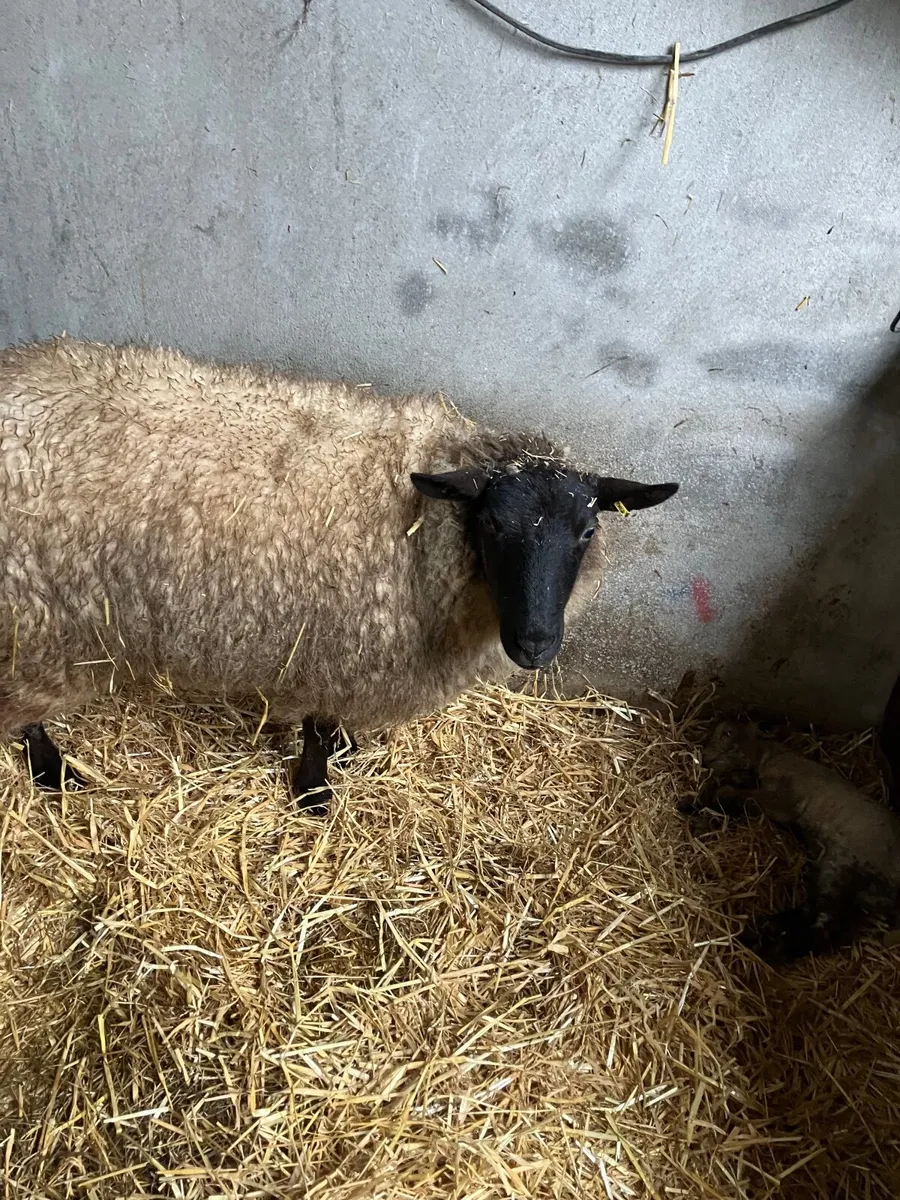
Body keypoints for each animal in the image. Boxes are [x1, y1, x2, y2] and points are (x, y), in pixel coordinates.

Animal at [0, 336, 678, 809]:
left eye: (587, 532)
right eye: (490, 525)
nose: (535, 644)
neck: (419, 537)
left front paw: (340, 758)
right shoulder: (337, 644)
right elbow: (319, 724)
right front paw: (314, 790)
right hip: (34, 625)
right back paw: (53, 772)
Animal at [679, 720, 900, 961]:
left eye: (727, 733)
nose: (704, 756)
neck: (768, 756)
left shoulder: (780, 798)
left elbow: (730, 793)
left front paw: (699, 810)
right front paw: (693, 805)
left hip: (844, 864)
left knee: (820, 925)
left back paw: (765, 944)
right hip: (849, 881)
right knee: (820, 917)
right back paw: (765, 931)